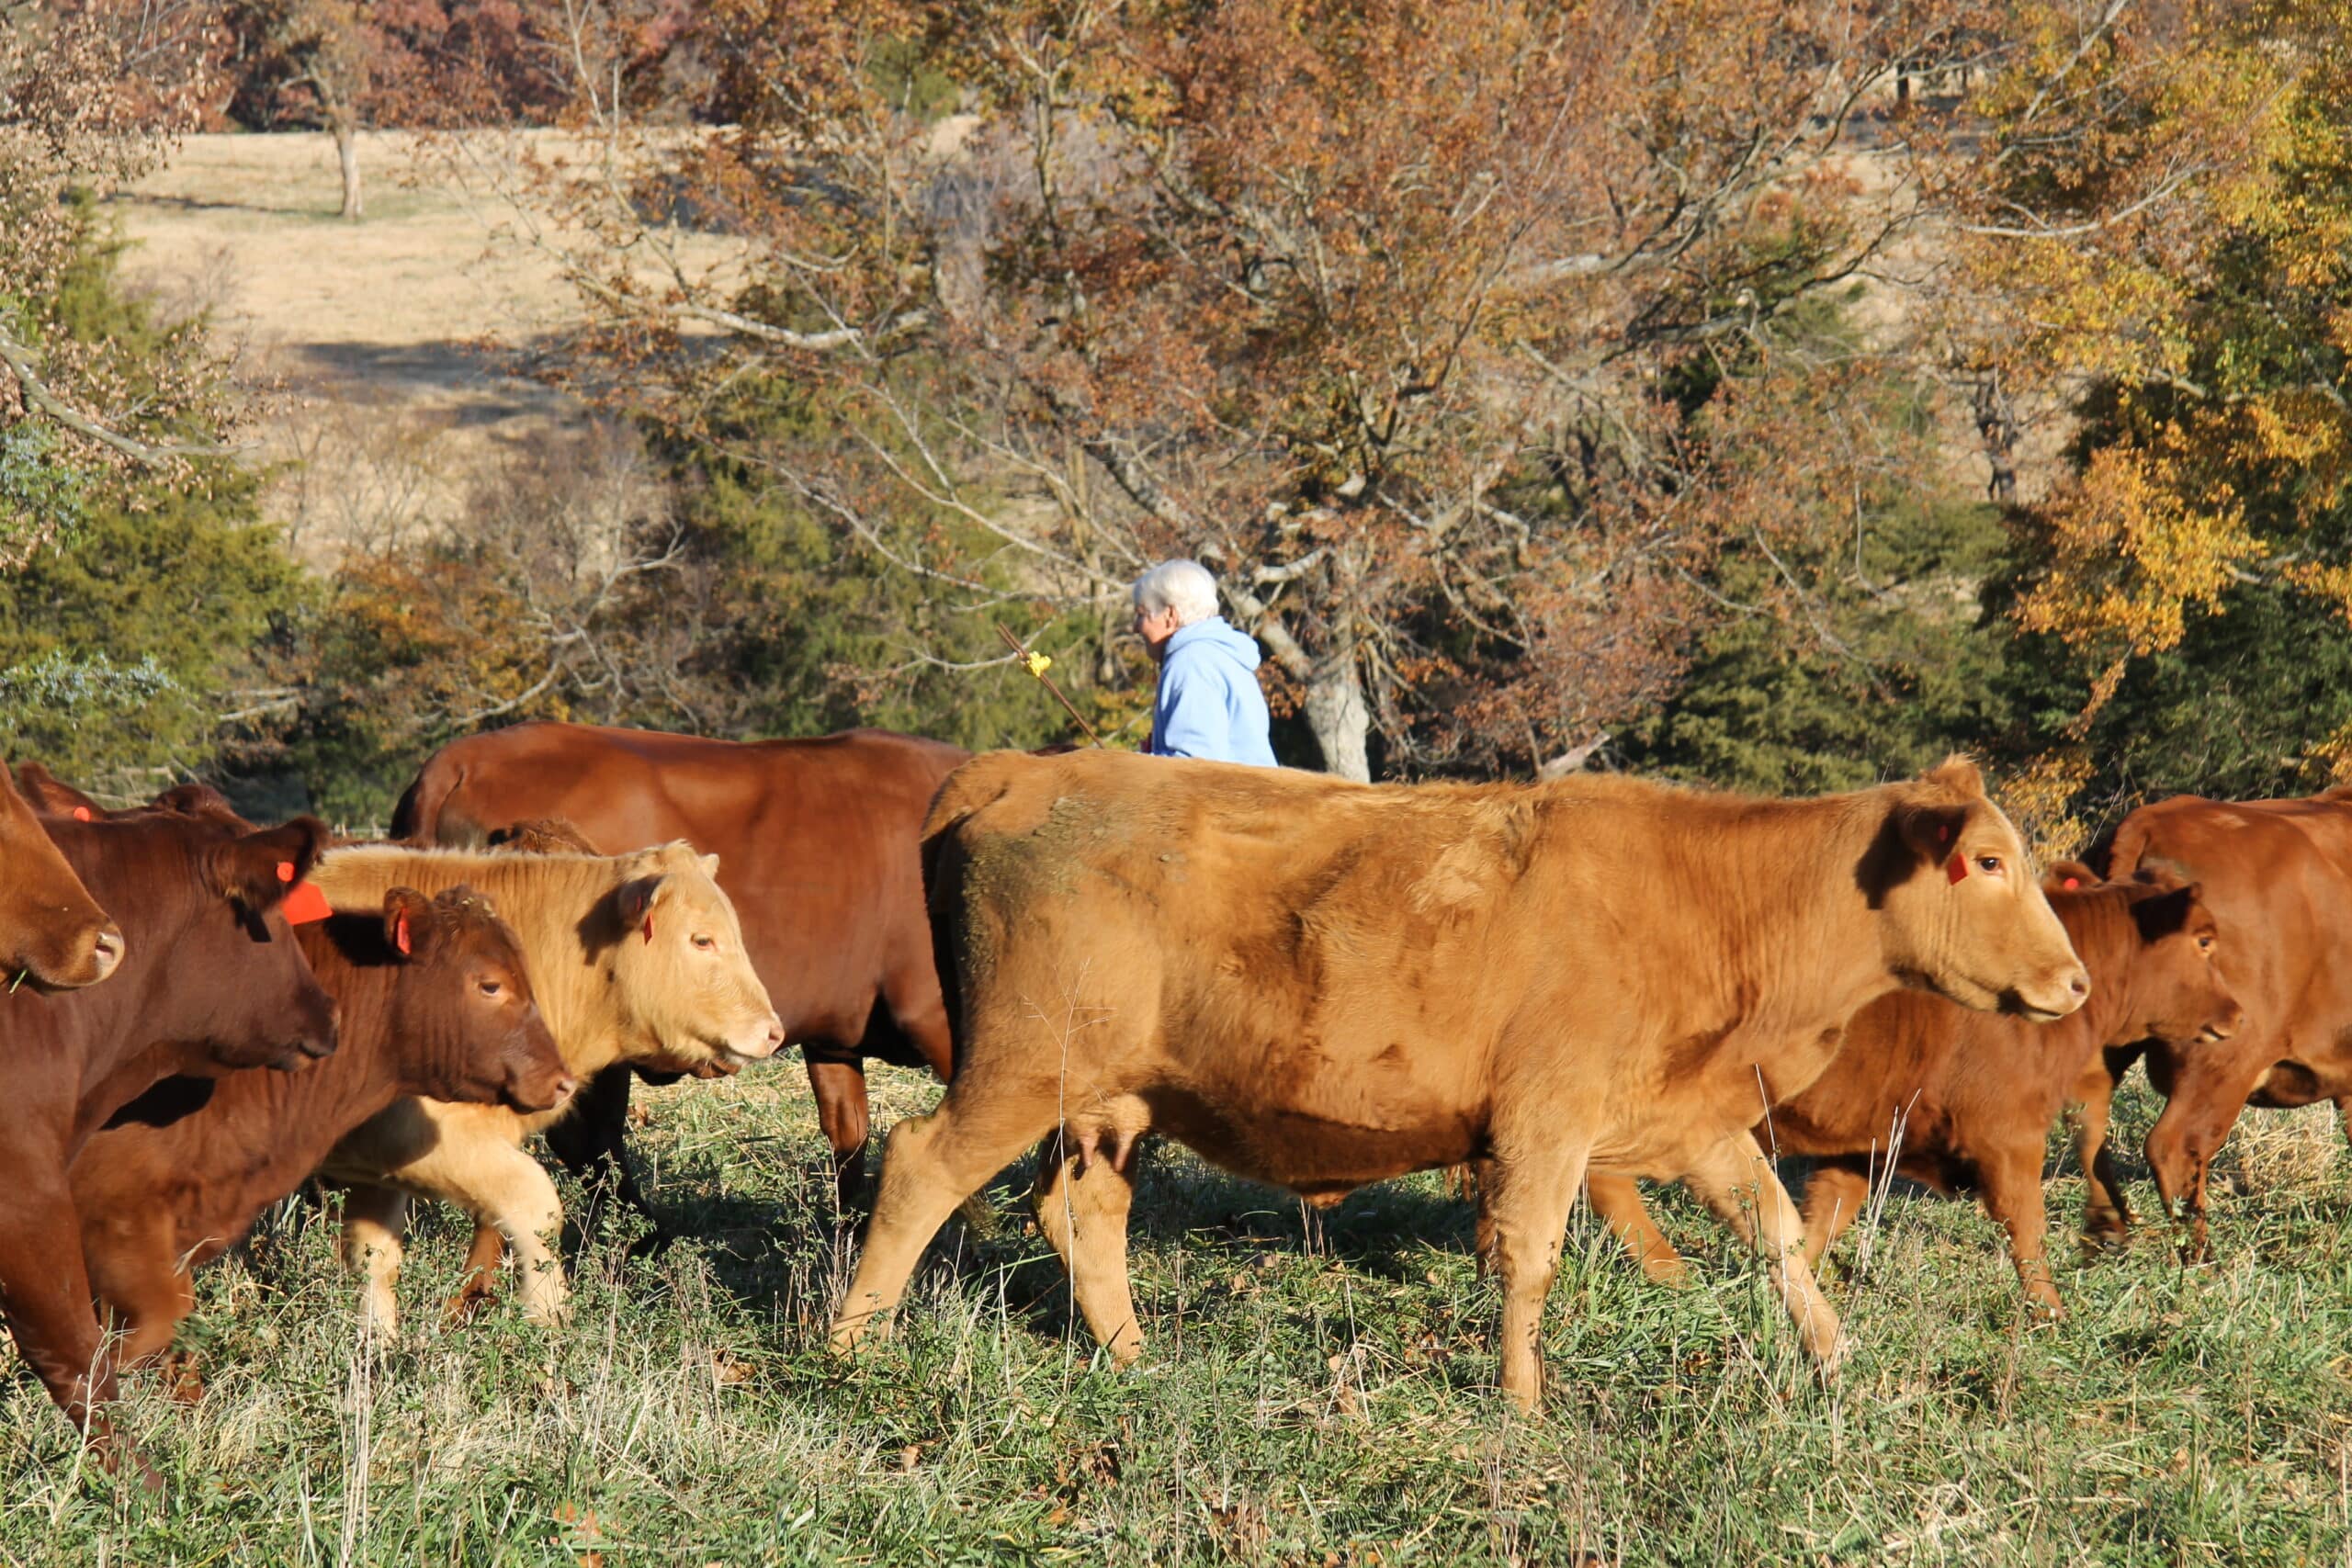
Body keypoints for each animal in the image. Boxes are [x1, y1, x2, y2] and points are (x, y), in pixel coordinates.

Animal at [301, 840, 784, 1329]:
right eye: (702, 939)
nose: (773, 1033)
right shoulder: (423, 1138)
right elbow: (537, 1207)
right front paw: (547, 1317)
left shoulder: (380, 1166)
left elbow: (375, 1259)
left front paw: (377, 1342)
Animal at [830, 750, 2089, 1411]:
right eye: (1987, 861)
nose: (2075, 982)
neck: (1705, 897)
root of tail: (1025, 768)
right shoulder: (1545, 1122)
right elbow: (1528, 1259)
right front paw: (1523, 1405)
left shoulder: (1693, 1119)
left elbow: (1777, 1233)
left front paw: (1836, 1359)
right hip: (1017, 1068)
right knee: (918, 1167)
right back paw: (851, 1350)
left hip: (1107, 1103)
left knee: (1080, 1208)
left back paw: (1136, 1360)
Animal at [1582, 863, 2240, 1317]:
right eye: (2204, 940)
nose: (2237, 1012)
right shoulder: (2011, 1137)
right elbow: (2027, 1229)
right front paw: (2048, 1313)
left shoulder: (1859, 1143)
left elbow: (1821, 1220)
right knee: (1603, 1177)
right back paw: (1668, 1270)